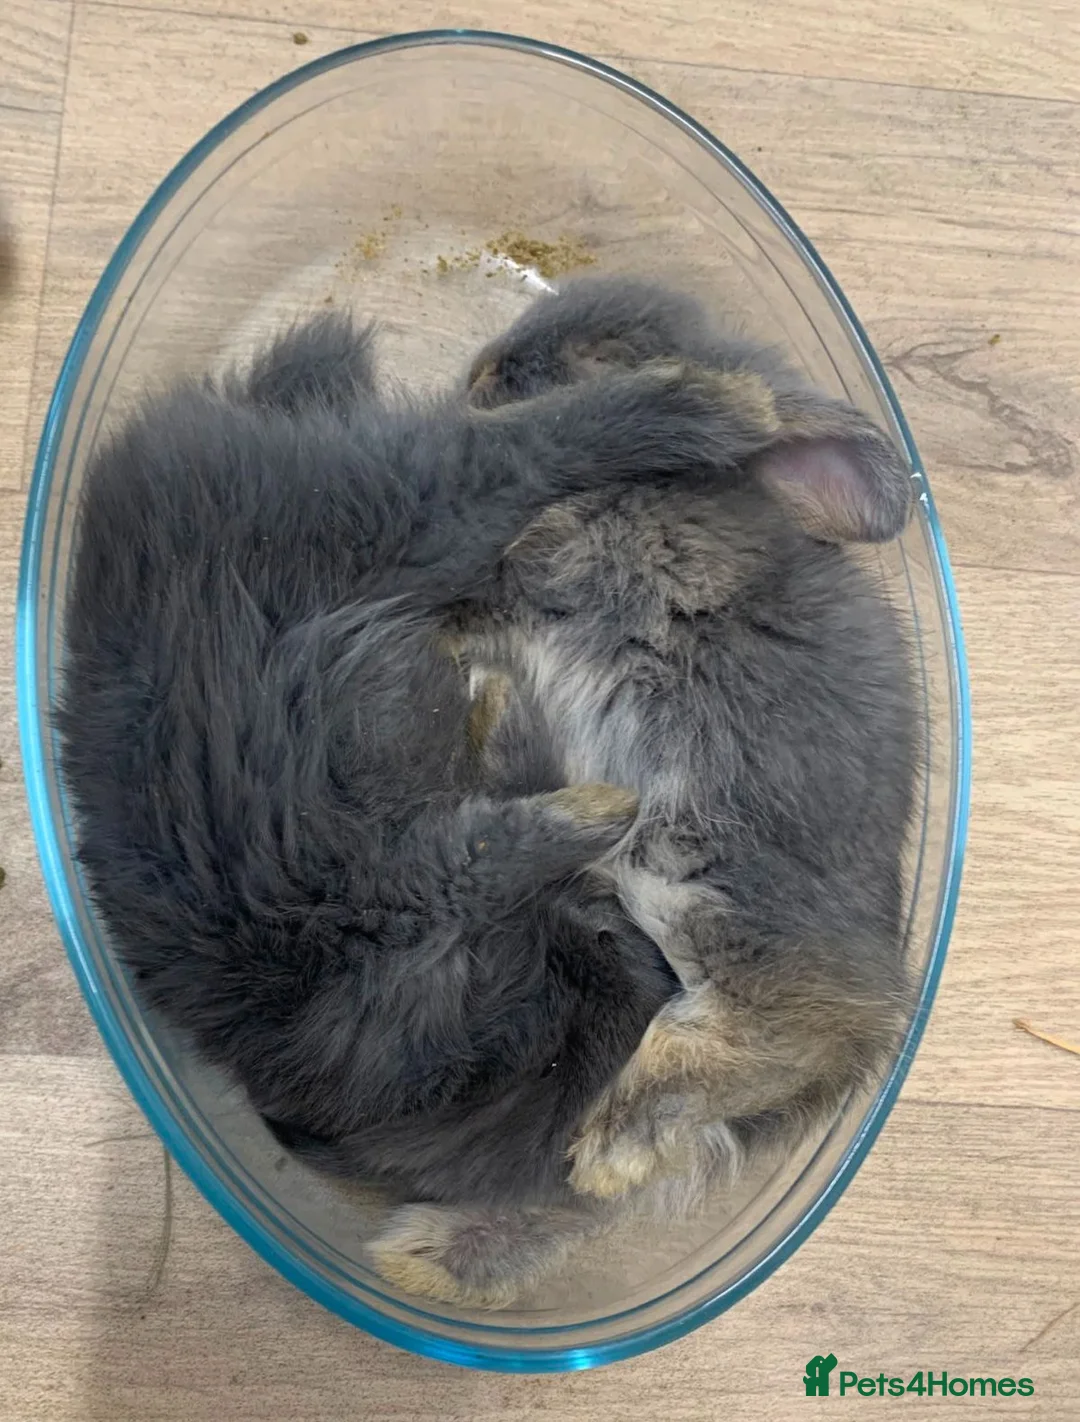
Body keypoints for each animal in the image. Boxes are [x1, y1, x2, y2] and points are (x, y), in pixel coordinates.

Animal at [58, 308, 803, 1224]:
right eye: (604, 964)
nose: (639, 951)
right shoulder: (407, 884)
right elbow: (496, 844)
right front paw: (597, 807)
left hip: (402, 521)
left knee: (513, 444)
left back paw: (716, 403)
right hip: (414, 519)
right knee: (520, 448)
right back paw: (714, 404)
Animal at [365, 277, 919, 1306]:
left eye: (614, 352)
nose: (484, 372)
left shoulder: (555, 559)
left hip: (696, 862)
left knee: (792, 1018)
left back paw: (610, 1147)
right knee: (571, 1203)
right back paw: (432, 1260)